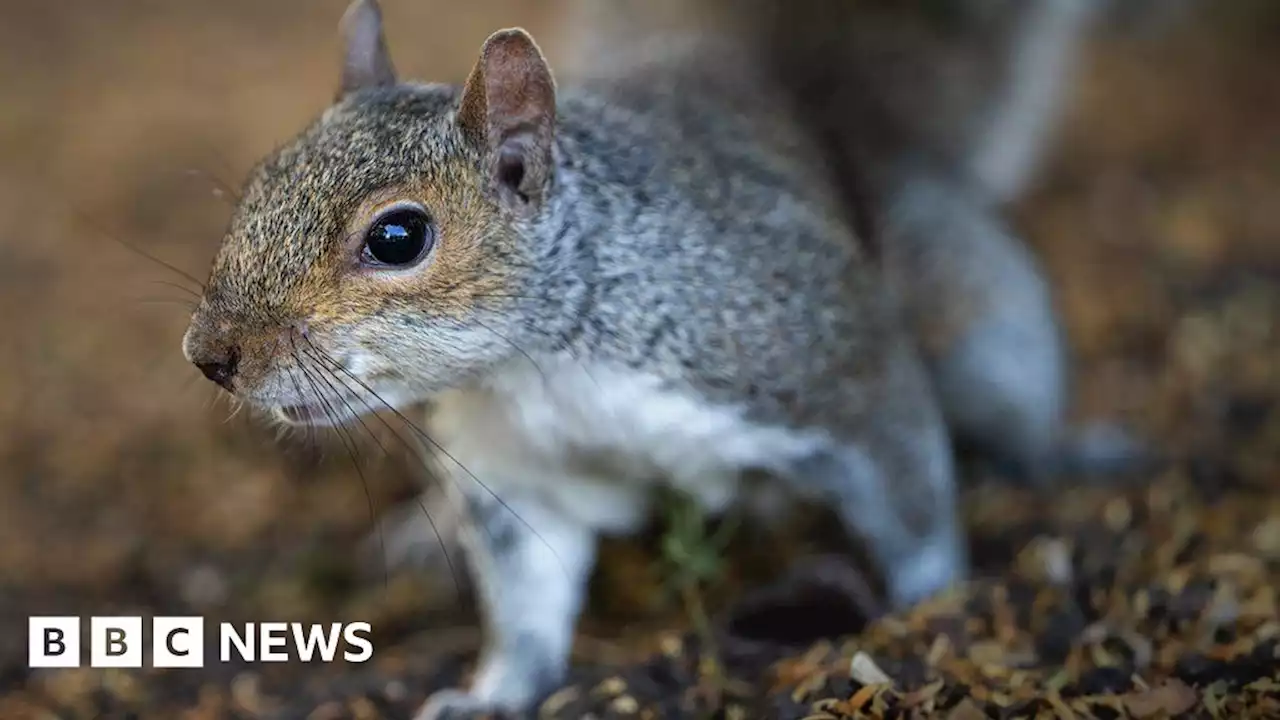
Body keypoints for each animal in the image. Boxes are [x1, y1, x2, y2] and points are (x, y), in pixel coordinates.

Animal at [183, 2, 1131, 712]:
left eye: (398, 236)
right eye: (261, 181)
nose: (209, 354)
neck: (538, 368)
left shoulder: (823, 361)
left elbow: (907, 485)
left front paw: (927, 609)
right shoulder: (515, 473)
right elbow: (528, 601)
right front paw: (495, 694)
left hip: (974, 315)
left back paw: (1062, 451)